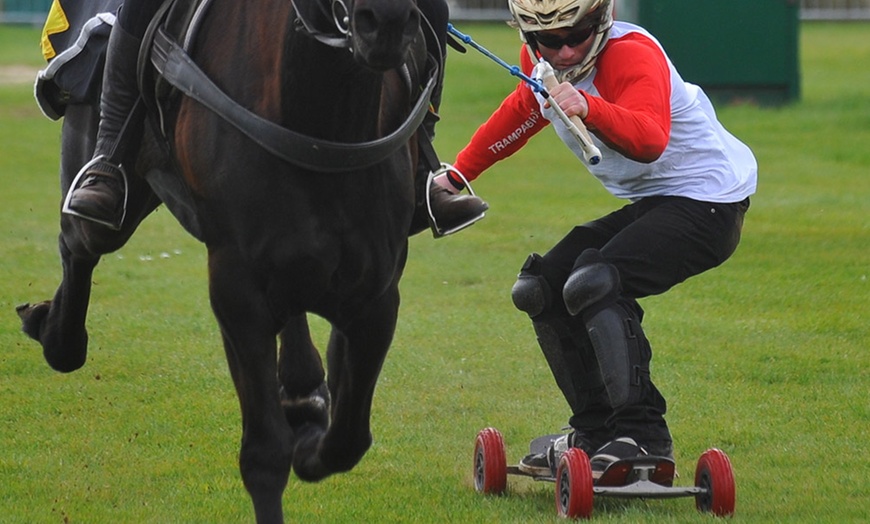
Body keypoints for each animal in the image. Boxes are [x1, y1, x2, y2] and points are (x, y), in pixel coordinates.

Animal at [22, 2, 436, 520]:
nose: (385, 23)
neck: (318, 114)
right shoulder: (237, 290)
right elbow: (265, 453)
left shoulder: (375, 297)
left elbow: (348, 439)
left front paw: (310, 431)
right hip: (105, 194)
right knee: (78, 245)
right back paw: (56, 327)